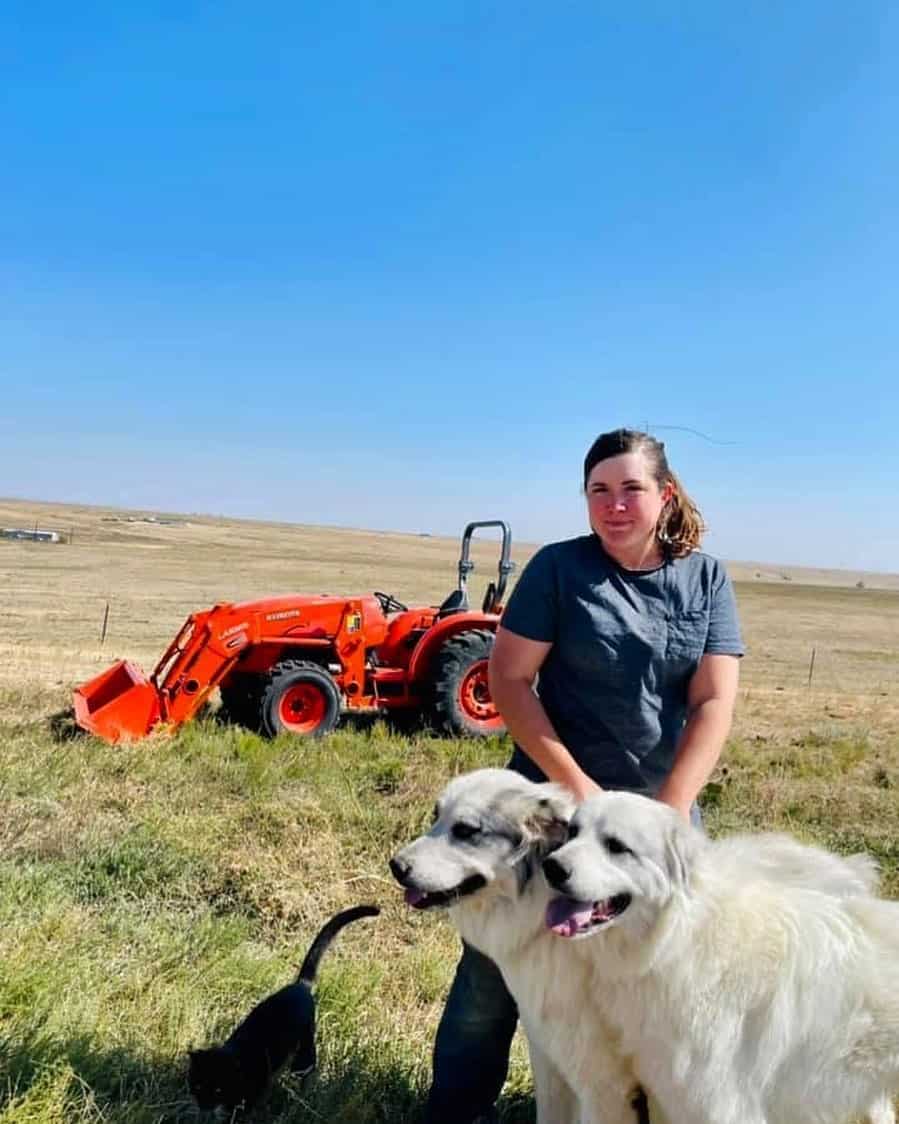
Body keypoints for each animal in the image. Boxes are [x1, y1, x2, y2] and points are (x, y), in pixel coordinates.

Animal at [186, 899, 375, 1110]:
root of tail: (300, 985)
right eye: (198, 1086)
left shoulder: (254, 1095)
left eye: (218, 1089)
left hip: (303, 1055)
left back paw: (302, 1098)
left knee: (307, 1074)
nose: (204, 1105)